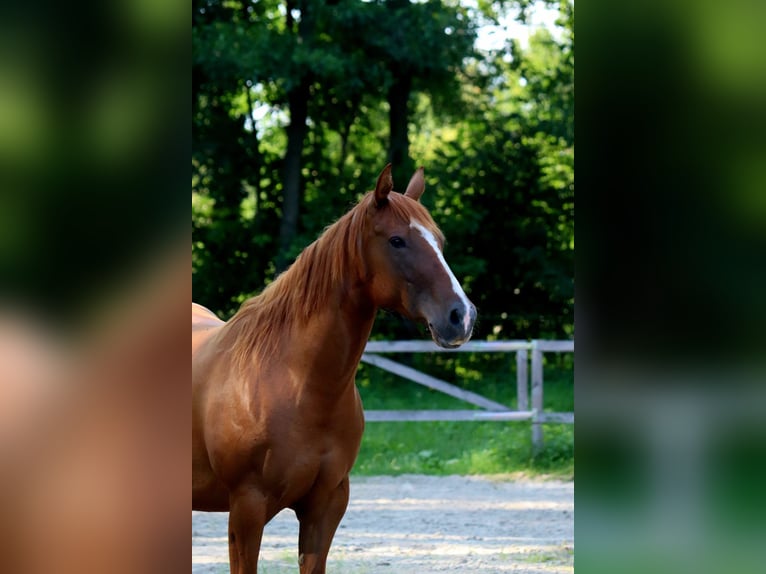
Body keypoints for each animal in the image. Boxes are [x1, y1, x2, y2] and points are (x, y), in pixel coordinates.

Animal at [192, 164, 476, 572]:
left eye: (438, 241)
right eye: (397, 241)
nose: (461, 317)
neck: (295, 383)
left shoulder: (326, 506)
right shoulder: (246, 508)